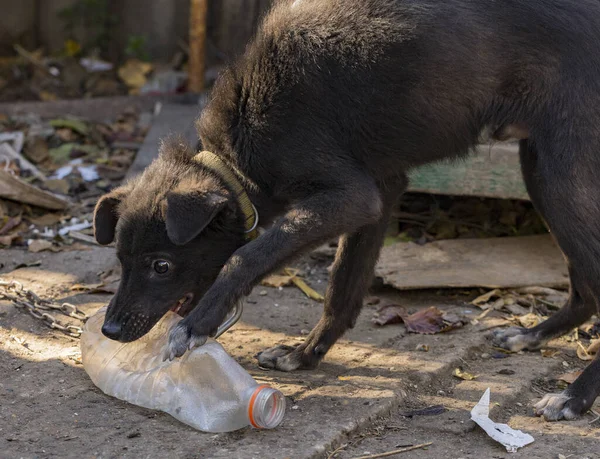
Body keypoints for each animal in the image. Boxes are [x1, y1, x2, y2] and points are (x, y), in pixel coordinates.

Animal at [92, 0, 600, 424]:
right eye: (119, 260)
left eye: (161, 265)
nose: (110, 330)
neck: (235, 154)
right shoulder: (381, 192)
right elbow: (343, 285)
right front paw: (306, 354)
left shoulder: (350, 198)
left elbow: (249, 255)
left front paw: (198, 324)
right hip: (539, 167)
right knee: (585, 288)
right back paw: (534, 336)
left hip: (561, 174)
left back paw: (574, 397)